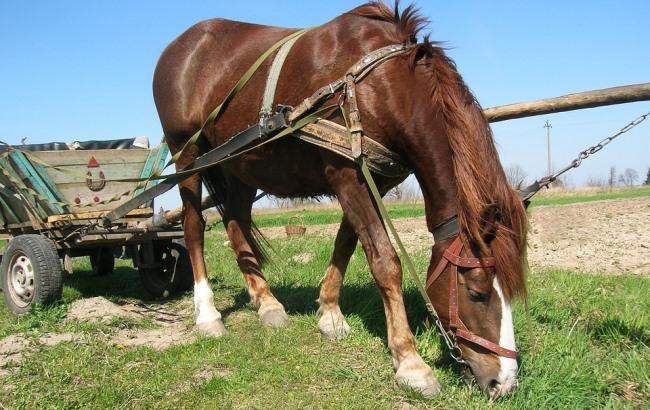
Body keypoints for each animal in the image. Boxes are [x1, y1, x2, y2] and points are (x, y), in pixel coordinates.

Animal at [152, 0, 528, 398]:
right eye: (477, 293)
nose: (504, 382)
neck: (377, 85)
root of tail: (182, 45)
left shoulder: (373, 178)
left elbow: (346, 243)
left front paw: (330, 313)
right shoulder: (346, 175)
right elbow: (384, 261)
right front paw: (410, 362)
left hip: (239, 165)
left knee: (235, 221)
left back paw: (266, 302)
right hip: (188, 156)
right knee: (194, 226)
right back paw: (207, 313)